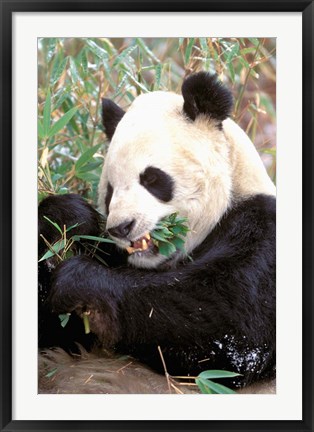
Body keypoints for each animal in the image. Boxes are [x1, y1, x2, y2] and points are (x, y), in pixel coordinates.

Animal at [38, 71, 274, 392]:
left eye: (151, 178)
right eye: (110, 191)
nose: (121, 227)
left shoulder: (263, 233)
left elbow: (229, 329)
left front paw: (80, 281)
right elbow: (55, 331)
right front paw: (66, 218)